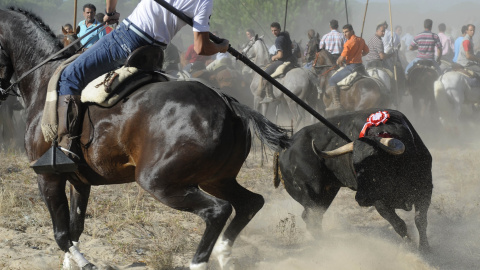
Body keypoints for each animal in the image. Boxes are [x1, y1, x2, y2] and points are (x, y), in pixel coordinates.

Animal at [0, 7, 288, 268]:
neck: (42, 79)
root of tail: (227, 103)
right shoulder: (79, 181)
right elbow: (75, 229)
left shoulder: (48, 177)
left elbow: (62, 235)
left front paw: (85, 263)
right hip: (216, 178)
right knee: (250, 203)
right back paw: (224, 255)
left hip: (160, 181)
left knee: (218, 211)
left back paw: (201, 261)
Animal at [274, 107, 436, 251]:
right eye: (355, 165)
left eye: (376, 163)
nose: (360, 199)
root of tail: (284, 147)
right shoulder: (379, 202)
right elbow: (399, 225)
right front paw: (412, 248)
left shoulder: (425, 190)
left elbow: (420, 220)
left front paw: (425, 248)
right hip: (312, 196)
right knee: (311, 219)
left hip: (326, 195)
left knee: (313, 218)